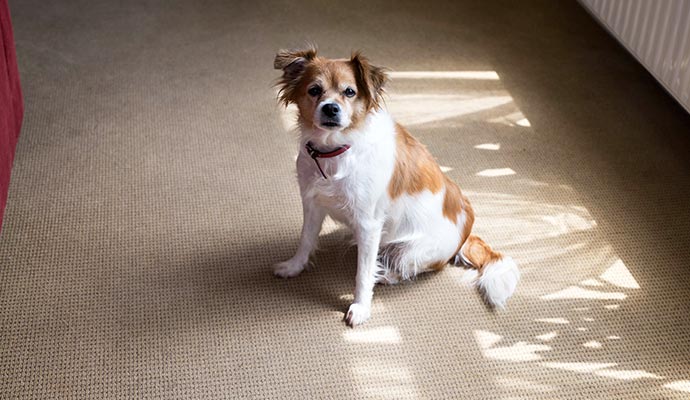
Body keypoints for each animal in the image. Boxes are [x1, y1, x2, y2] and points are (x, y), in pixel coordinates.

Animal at [272, 47, 520, 326]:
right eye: (314, 90)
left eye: (350, 92)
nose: (331, 108)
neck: (335, 149)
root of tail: (466, 230)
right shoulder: (313, 204)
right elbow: (305, 240)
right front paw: (294, 266)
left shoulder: (368, 226)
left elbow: (362, 274)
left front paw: (361, 307)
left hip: (410, 251)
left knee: (416, 267)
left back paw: (386, 276)